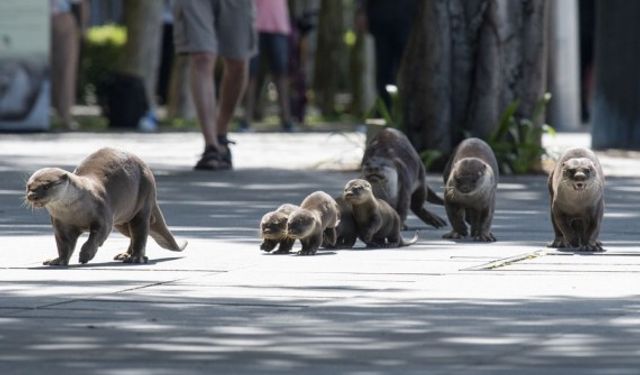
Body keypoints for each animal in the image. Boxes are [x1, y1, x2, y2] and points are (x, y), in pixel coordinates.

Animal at [27, 148, 188, 266]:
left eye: (46, 186)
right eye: (28, 186)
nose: (31, 196)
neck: (74, 212)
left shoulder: (102, 213)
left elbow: (97, 236)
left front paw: (85, 255)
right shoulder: (61, 223)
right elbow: (63, 244)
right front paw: (57, 260)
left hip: (144, 200)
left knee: (140, 232)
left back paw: (136, 258)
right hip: (122, 223)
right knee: (133, 235)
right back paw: (125, 255)